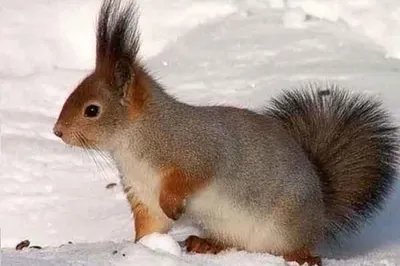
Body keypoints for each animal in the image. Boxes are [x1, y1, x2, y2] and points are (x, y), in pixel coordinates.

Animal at [52, 1, 396, 264]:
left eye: (92, 110)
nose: (57, 131)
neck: (132, 141)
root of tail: (321, 215)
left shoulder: (199, 150)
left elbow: (191, 177)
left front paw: (173, 205)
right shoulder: (141, 192)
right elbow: (150, 225)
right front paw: (141, 249)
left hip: (288, 223)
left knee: (296, 247)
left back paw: (300, 256)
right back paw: (206, 244)